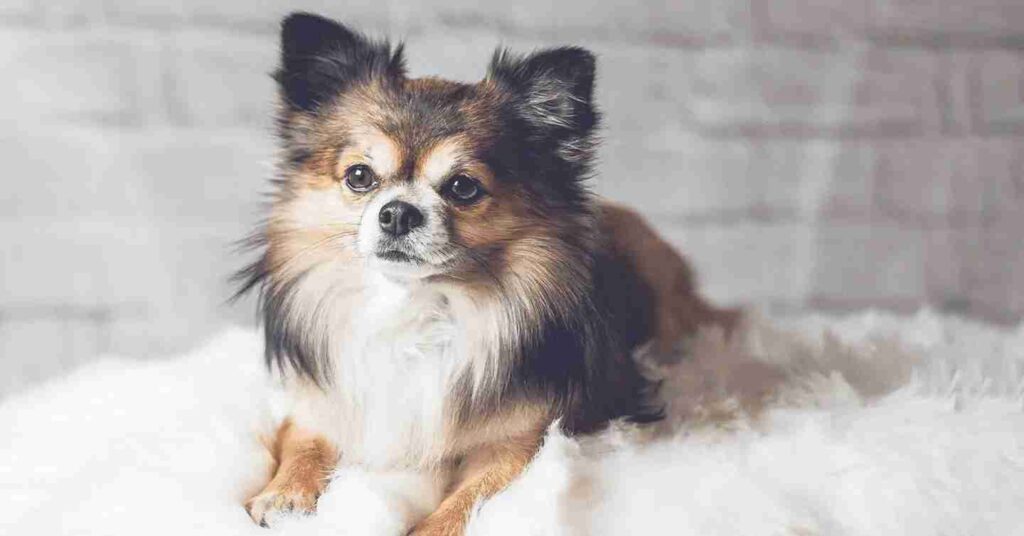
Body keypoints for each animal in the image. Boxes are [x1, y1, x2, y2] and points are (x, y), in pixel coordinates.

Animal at [238, 12, 737, 536]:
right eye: (359, 177)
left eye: (463, 187)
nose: (397, 212)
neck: (416, 306)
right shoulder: (322, 405)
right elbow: (303, 442)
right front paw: (286, 493)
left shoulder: (521, 443)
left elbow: (469, 498)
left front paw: (429, 527)